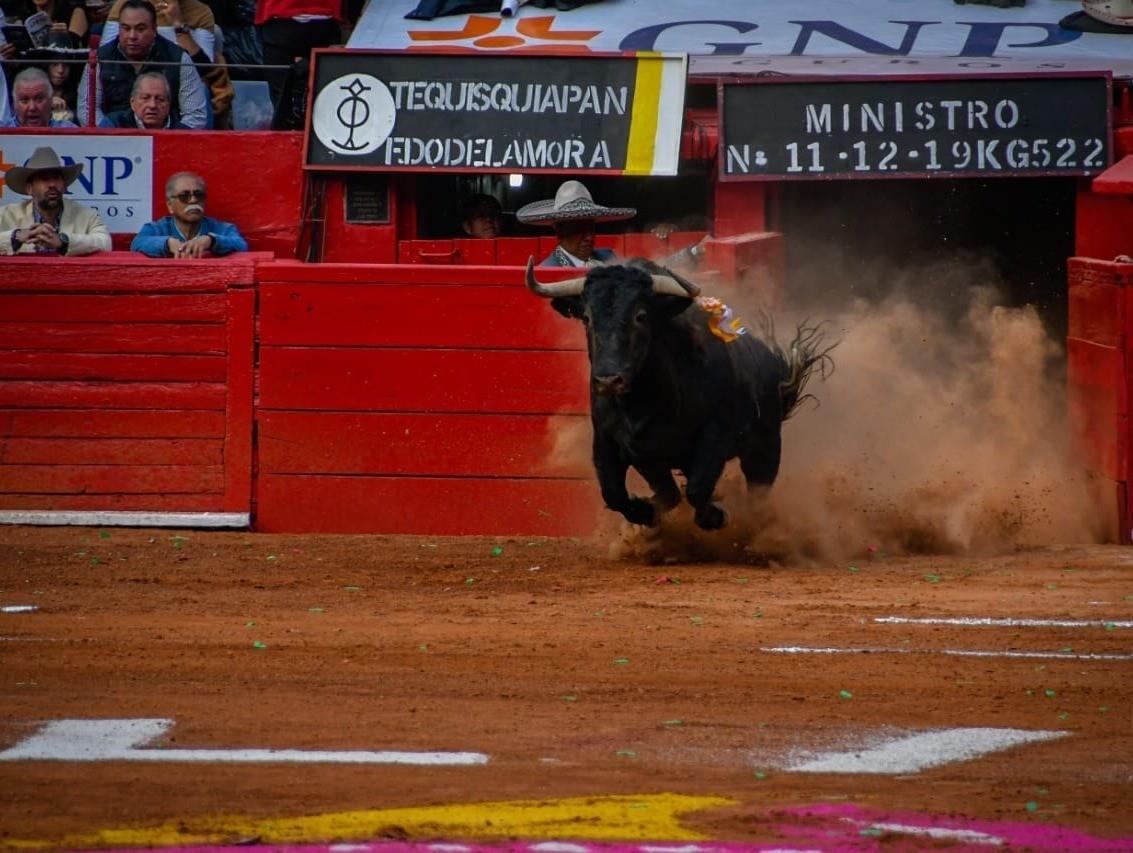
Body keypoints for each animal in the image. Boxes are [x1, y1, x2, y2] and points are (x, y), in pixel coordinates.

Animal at [527, 256, 833, 530]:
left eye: (641, 315)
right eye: (587, 318)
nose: (608, 380)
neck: (645, 400)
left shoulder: (715, 436)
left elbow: (697, 490)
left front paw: (718, 515)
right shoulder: (614, 442)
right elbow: (616, 493)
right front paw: (646, 511)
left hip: (765, 445)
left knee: (758, 492)